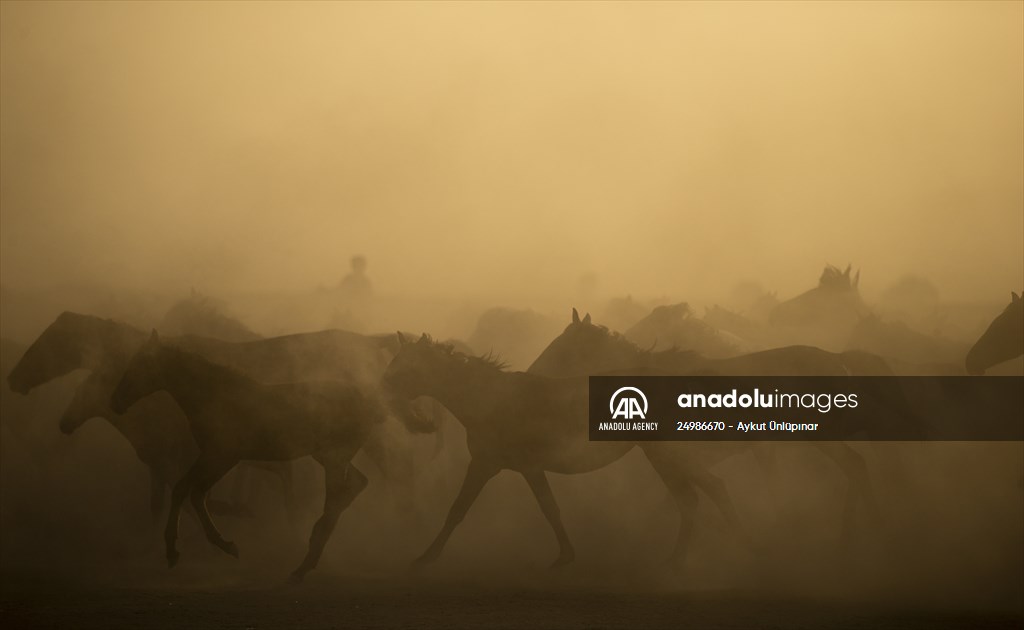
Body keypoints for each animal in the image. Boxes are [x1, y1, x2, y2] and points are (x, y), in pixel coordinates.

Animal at [110, 330, 390, 582]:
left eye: (140, 364)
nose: (116, 401)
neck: (212, 395)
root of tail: (370, 405)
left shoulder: (223, 456)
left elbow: (196, 493)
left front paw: (223, 544)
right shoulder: (212, 455)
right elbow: (183, 489)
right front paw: (173, 551)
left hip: (334, 457)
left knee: (336, 499)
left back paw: (304, 563)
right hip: (326, 455)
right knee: (355, 485)